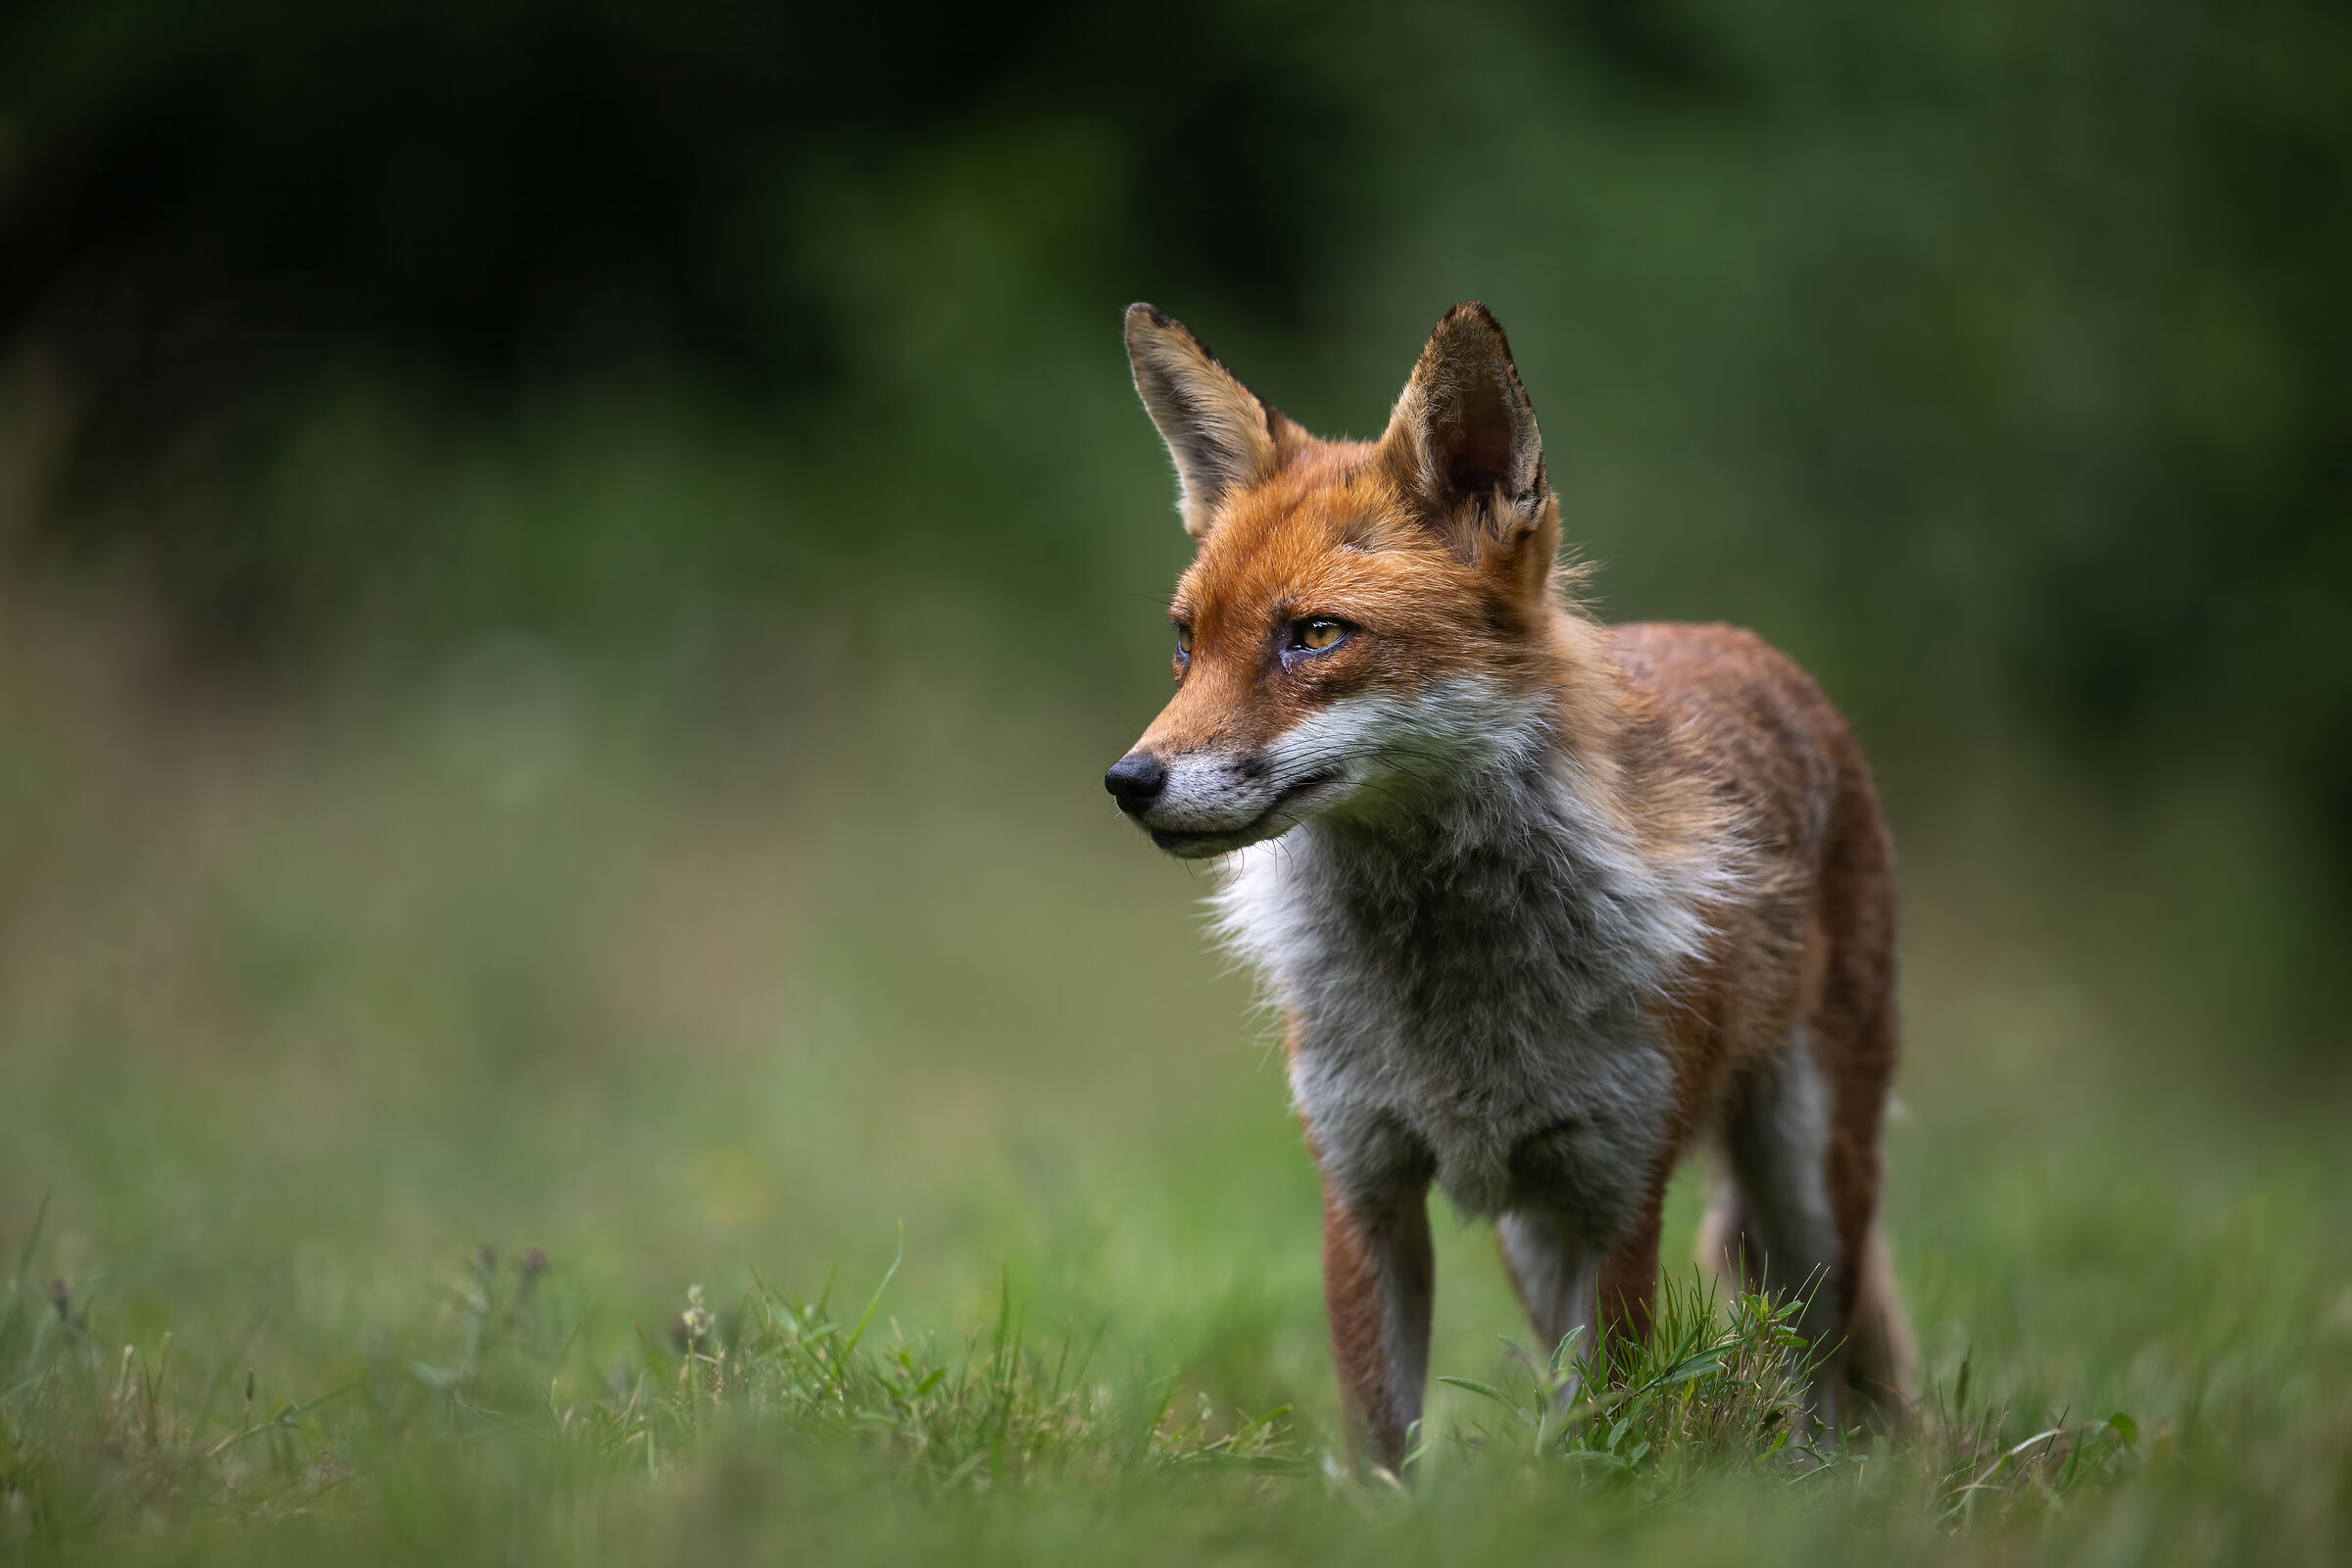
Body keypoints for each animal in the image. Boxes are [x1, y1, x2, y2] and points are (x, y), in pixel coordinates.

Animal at [1103, 301, 1916, 1472]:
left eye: (1315, 635)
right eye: (1184, 642)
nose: (1130, 782)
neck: (1452, 990)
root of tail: (1756, 652)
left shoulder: (1620, 1195)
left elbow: (1606, 1427)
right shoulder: (1364, 1184)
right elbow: (1382, 1439)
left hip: (1807, 1187)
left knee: (1827, 1371)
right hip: (1536, 1239)